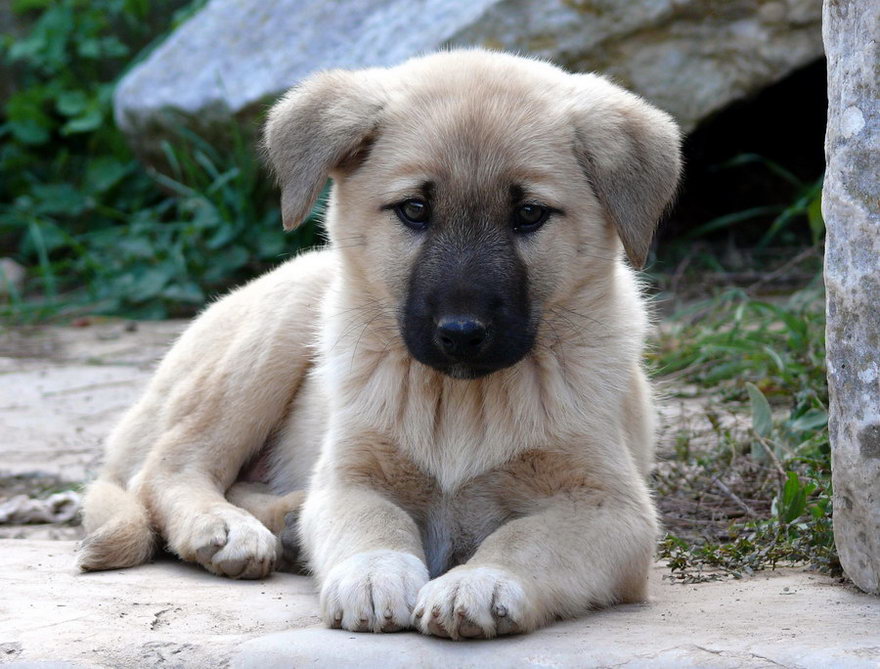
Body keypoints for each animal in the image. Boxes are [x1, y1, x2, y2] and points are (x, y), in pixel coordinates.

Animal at [77, 48, 680, 636]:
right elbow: (374, 523)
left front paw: (479, 581)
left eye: (529, 214)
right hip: (270, 338)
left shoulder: (610, 508)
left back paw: (286, 521)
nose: (461, 334)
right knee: (167, 465)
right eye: (414, 209)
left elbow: (526, 540)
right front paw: (373, 577)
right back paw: (227, 527)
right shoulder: (351, 476)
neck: (462, 401)